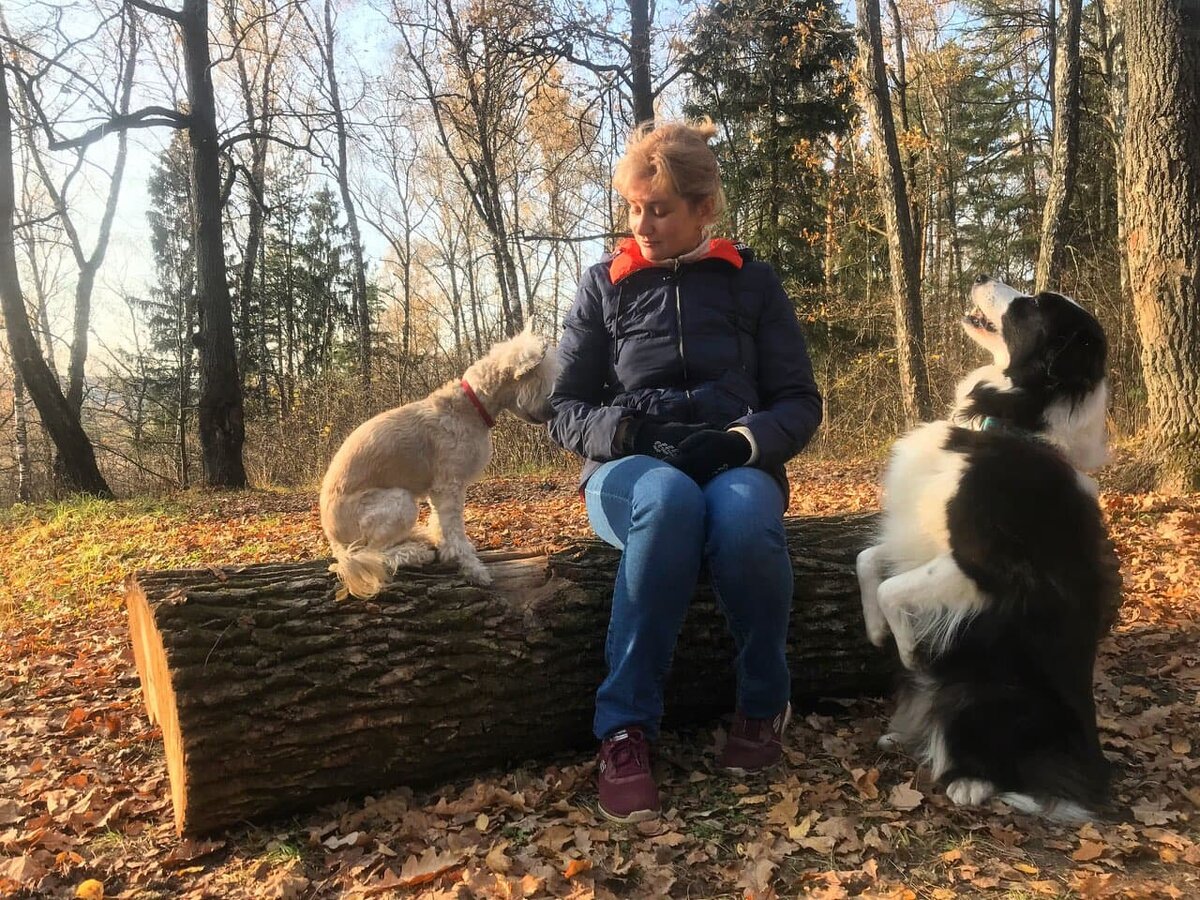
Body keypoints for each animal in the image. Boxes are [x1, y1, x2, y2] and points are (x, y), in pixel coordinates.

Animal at [321, 327, 558, 598]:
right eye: (540, 378)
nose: (553, 411)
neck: (470, 406)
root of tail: (333, 539)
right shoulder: (449, 485)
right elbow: (453, 529)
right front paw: (472, 568)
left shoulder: (442, 490)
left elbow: (442, 523)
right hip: (398, 502)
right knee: (372, 553)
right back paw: (415, 553)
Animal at [856, 275, 1120, 822]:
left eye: (1033, 305)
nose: (981, 277)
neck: (1018, 423)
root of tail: (1092, 769)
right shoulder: (920, 537)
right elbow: (868, 561)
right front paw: (875, 630)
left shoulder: (985, 565)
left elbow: (895, 589)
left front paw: (908, 647)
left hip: (981, 694)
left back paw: (969, 782)